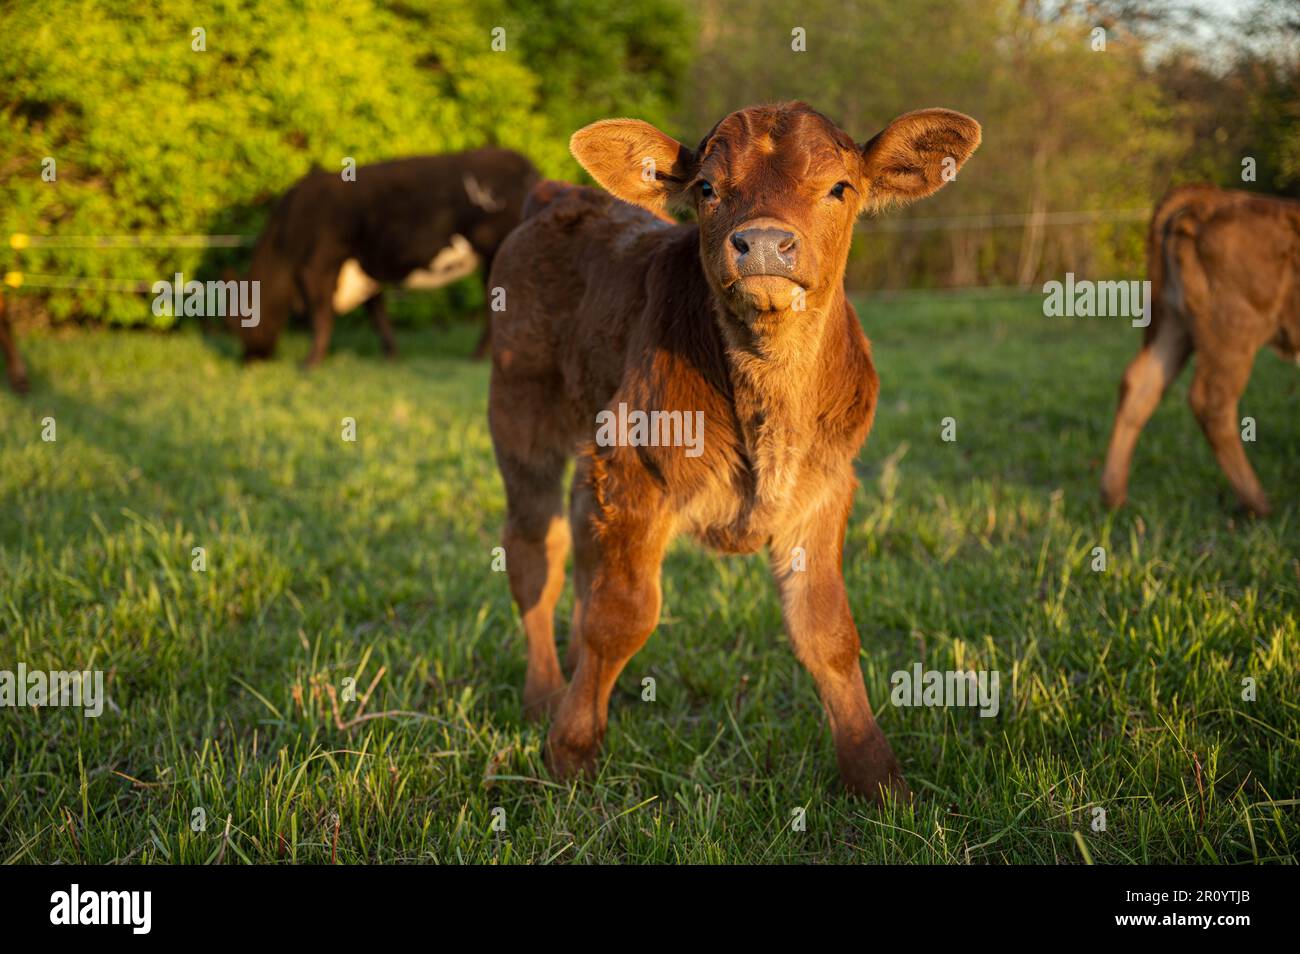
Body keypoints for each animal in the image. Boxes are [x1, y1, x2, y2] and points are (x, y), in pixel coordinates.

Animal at [230, 151, 538, 363]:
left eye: (237, 323)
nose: (247, 360)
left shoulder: (317, 265)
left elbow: (320, 317)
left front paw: (309, 363)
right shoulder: (364, 269)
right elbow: (377, 313)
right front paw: (392, 356)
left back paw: (480, 356)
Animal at [491, 100, 977, 805]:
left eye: (840, 187)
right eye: (706, 188)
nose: (766, 243)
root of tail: (562, 194)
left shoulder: (824, 488)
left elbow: (827, 631)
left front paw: (877, 777)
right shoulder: (637, 468)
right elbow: (622, 614)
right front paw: (571, 751)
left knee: (582, 542)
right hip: (519, 416)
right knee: (536, 552)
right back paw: (546, 695)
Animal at [1097, 184, 1300, 514]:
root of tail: (1213, 198)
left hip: (1173, 322)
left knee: (1140, 385)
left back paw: (1113, 497)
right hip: (1234, 327)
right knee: (1211, 402)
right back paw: (1258, 504)